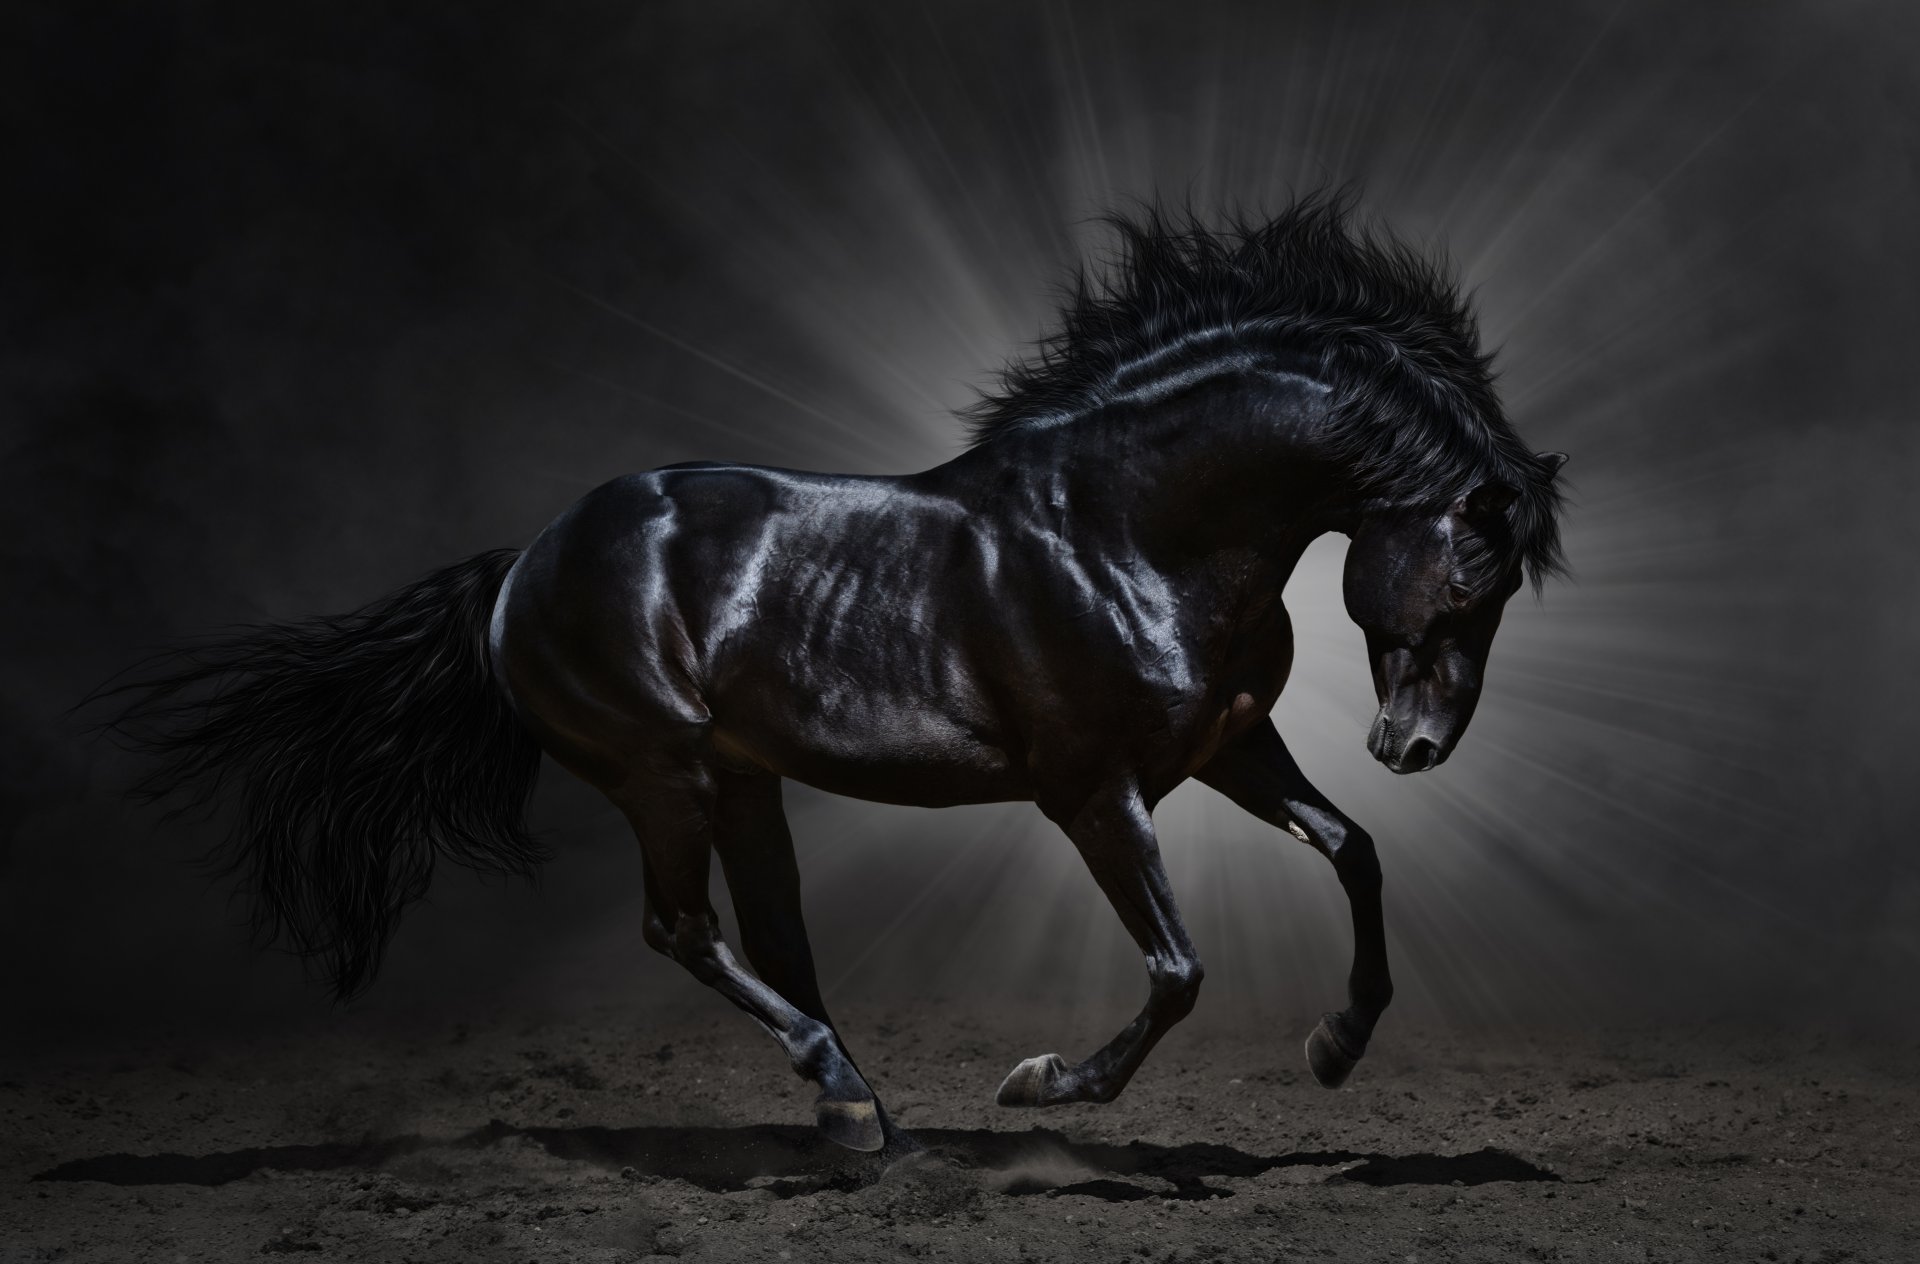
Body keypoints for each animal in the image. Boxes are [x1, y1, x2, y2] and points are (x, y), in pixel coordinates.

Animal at [108, 194, 1567, 1155]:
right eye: (1469, 576)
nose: (1415, 745)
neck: (1125, 531)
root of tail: (524, 561)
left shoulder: (1226, 748)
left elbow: (1353, 850)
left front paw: (1335, 1045)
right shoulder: (1095, 793)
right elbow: (1177, 968)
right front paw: (1042, 1085)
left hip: (741, 781)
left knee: (774, 939)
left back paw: (861, 1113)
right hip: (662, 772)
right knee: (684, 930)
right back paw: (851, 1102)